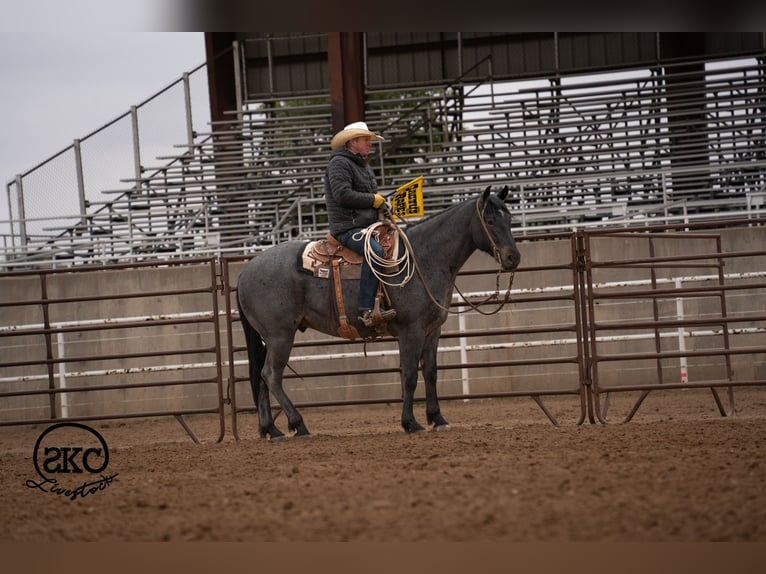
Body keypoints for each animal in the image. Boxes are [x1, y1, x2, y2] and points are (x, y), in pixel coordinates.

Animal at [236, 185, 521, 438]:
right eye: (490, 220)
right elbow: (409, 375)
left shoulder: (432, 330)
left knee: (261, 377)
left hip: (269, 339)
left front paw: (437, 418)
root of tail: (245, 271)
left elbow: (430, 372)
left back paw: (271, 430)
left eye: (509, 218)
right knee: (271, 375)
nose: (513, 258)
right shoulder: (411, 331)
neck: (424, 259)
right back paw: (298, 424)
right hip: (280, 336)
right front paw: (410, 423)